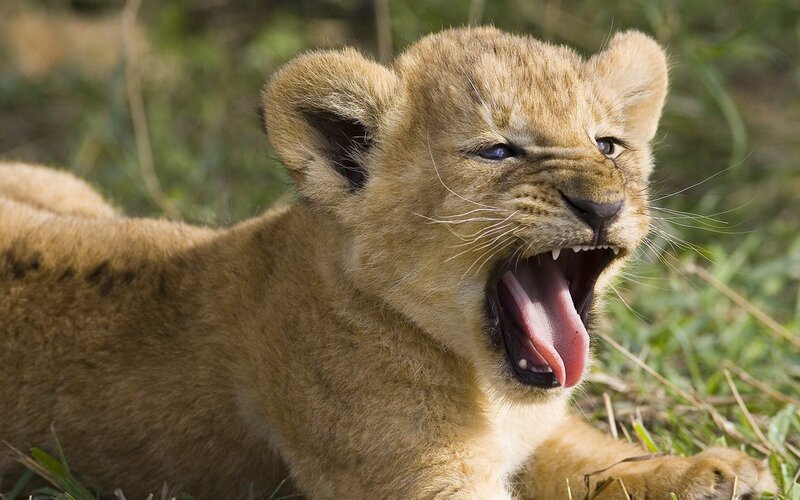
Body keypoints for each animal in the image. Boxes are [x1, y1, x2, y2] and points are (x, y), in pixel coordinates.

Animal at [0, 28, 775, 499]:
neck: (486, 388)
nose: (602, 205)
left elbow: (601, 459)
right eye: (498, 151)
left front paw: (714, 471)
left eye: (608, 144)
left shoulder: (542, 431)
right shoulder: (416, 482)